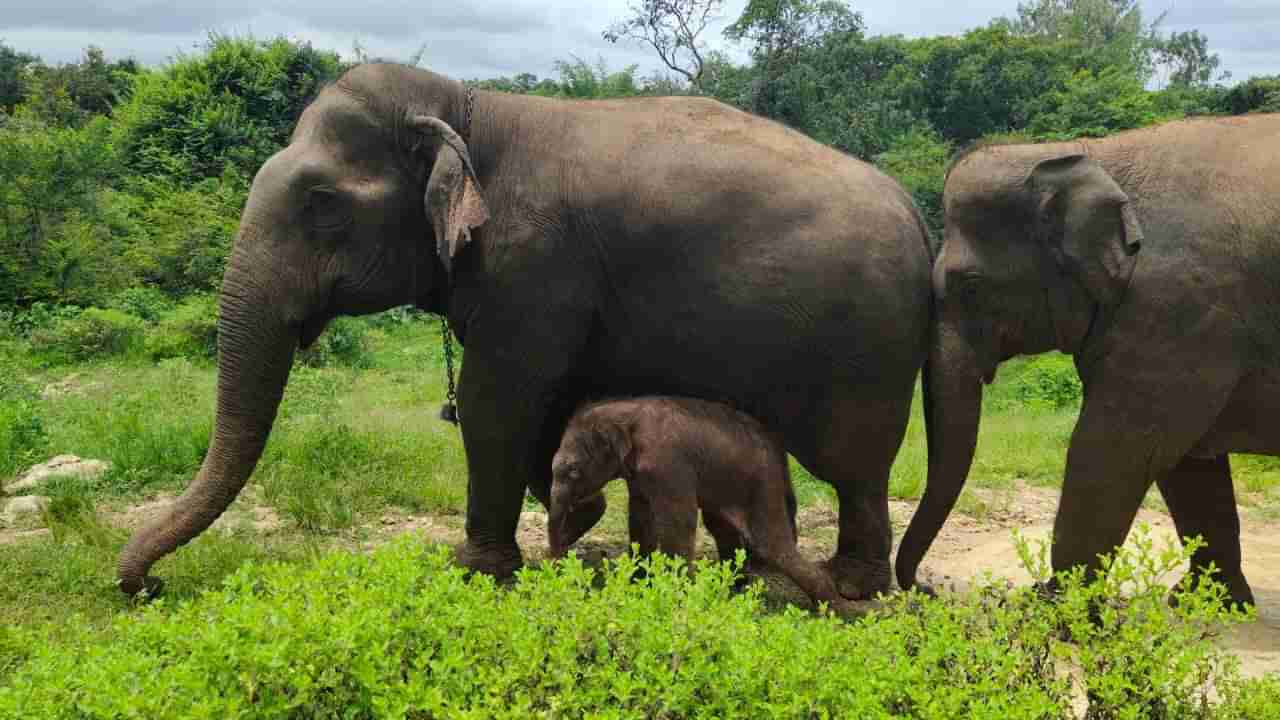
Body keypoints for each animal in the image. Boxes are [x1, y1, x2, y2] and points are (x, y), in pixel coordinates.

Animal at [547, 394, 855, 614]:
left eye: (573, 471)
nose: (559, 566)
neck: (624, 412)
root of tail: (779, 451)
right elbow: (640, 516)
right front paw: (640, 584)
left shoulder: (669, 463)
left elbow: (677, 521)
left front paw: (678, 593)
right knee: (725, 530)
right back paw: (732, 588)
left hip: (762, 484)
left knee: (771, 544)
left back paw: (839, 610)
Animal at [890, 113, 1280, 604]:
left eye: (971, 286)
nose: (927, 587)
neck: (1091, 152)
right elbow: (1186, 465)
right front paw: (1208, 602)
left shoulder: (1182, 311)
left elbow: (1115, 446)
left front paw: (1050, 604)